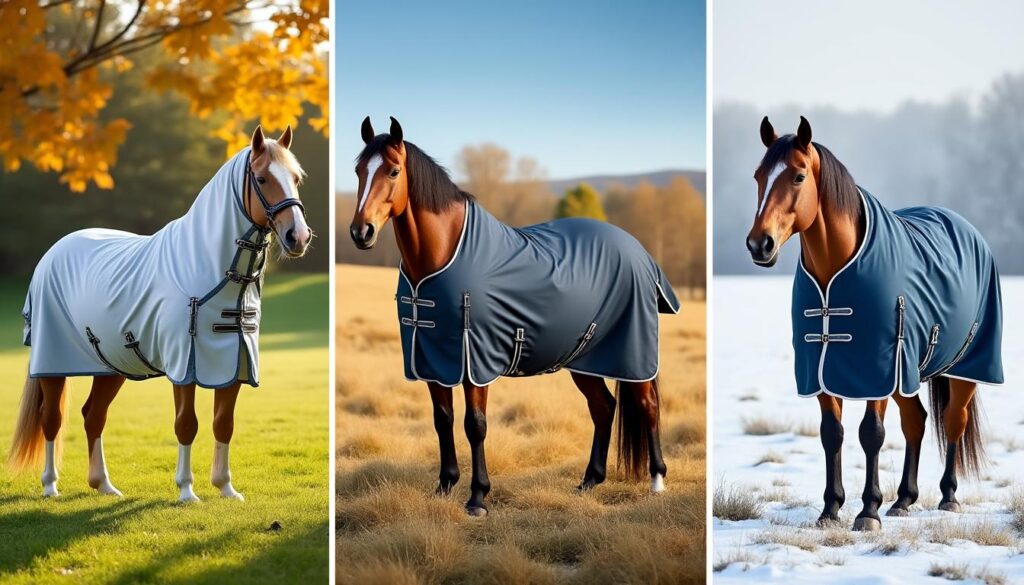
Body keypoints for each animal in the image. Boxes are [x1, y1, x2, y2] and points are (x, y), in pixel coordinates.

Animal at [9, 126, 312, 502]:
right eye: (261, 178)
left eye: (296, 178)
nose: (298, 237)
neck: (211, 269)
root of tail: (53, 251)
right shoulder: (185, 364)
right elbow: (186, 424)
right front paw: (186, 491)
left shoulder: (234, 363)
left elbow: (223, 424)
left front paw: (226, 488)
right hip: (52, 363)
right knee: (51, 418)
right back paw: (50, 486)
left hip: (112, 366)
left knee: (93, 416)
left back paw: (104, 485)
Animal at [349, 117, 681, 516]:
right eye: (357, 171)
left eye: (394, 171)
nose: (361, 232)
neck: (442, 256)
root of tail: (640, 251)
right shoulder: (431, 358)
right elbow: (442, 420)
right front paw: (444, 487)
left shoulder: (474, 361)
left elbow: (474, 425)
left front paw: (477, 498)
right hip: (584, 358)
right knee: (603, 407)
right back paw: (588, 482)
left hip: (633, 352)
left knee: (648, 406)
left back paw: (657, 481)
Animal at [746, 116, 1004, 531]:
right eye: (758, 176)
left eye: (799, 176)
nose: (760, 244)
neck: (834, 276)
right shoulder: (822, 368)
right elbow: (831, 434)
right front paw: (831, 509)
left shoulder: (876, 367)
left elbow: (871, 434)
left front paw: (868, 511)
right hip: (907, 372)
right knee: (916, 421)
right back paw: (904, 499)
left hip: (965, 366)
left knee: (954, 420)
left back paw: (948, 497)